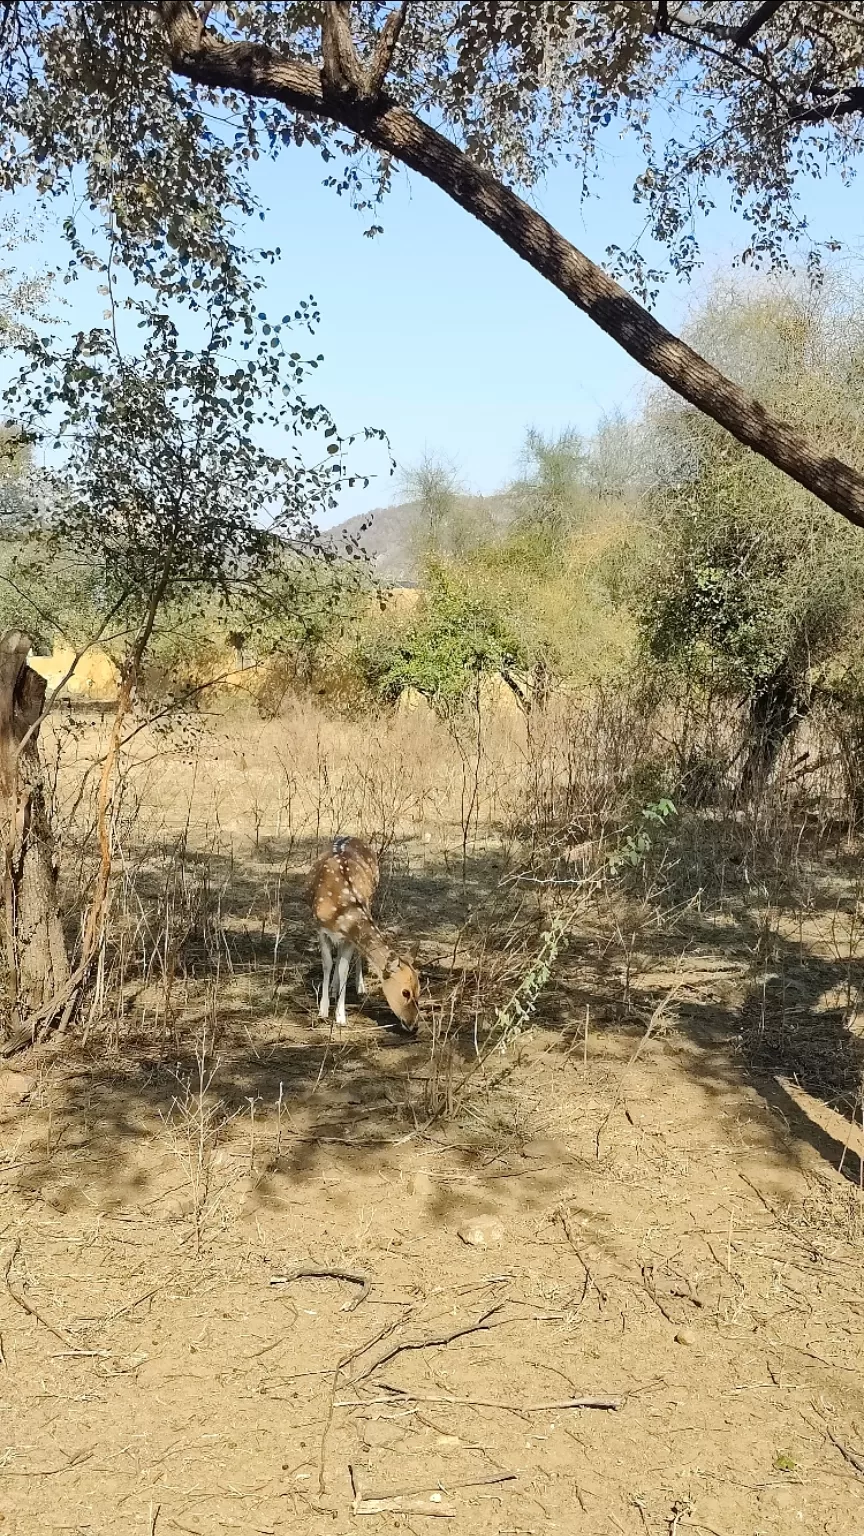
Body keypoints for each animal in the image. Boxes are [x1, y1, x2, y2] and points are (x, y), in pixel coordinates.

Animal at [305, 841, 421, 1032]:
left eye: (420, 990)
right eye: (405, 992)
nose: (414, 1025)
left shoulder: (351, 937)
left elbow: (343, 969)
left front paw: (340, 1016)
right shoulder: (320, 928)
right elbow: (328, 964)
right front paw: (323, 1010)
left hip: (371, 900)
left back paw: (358, 987)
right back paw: (333, 988)